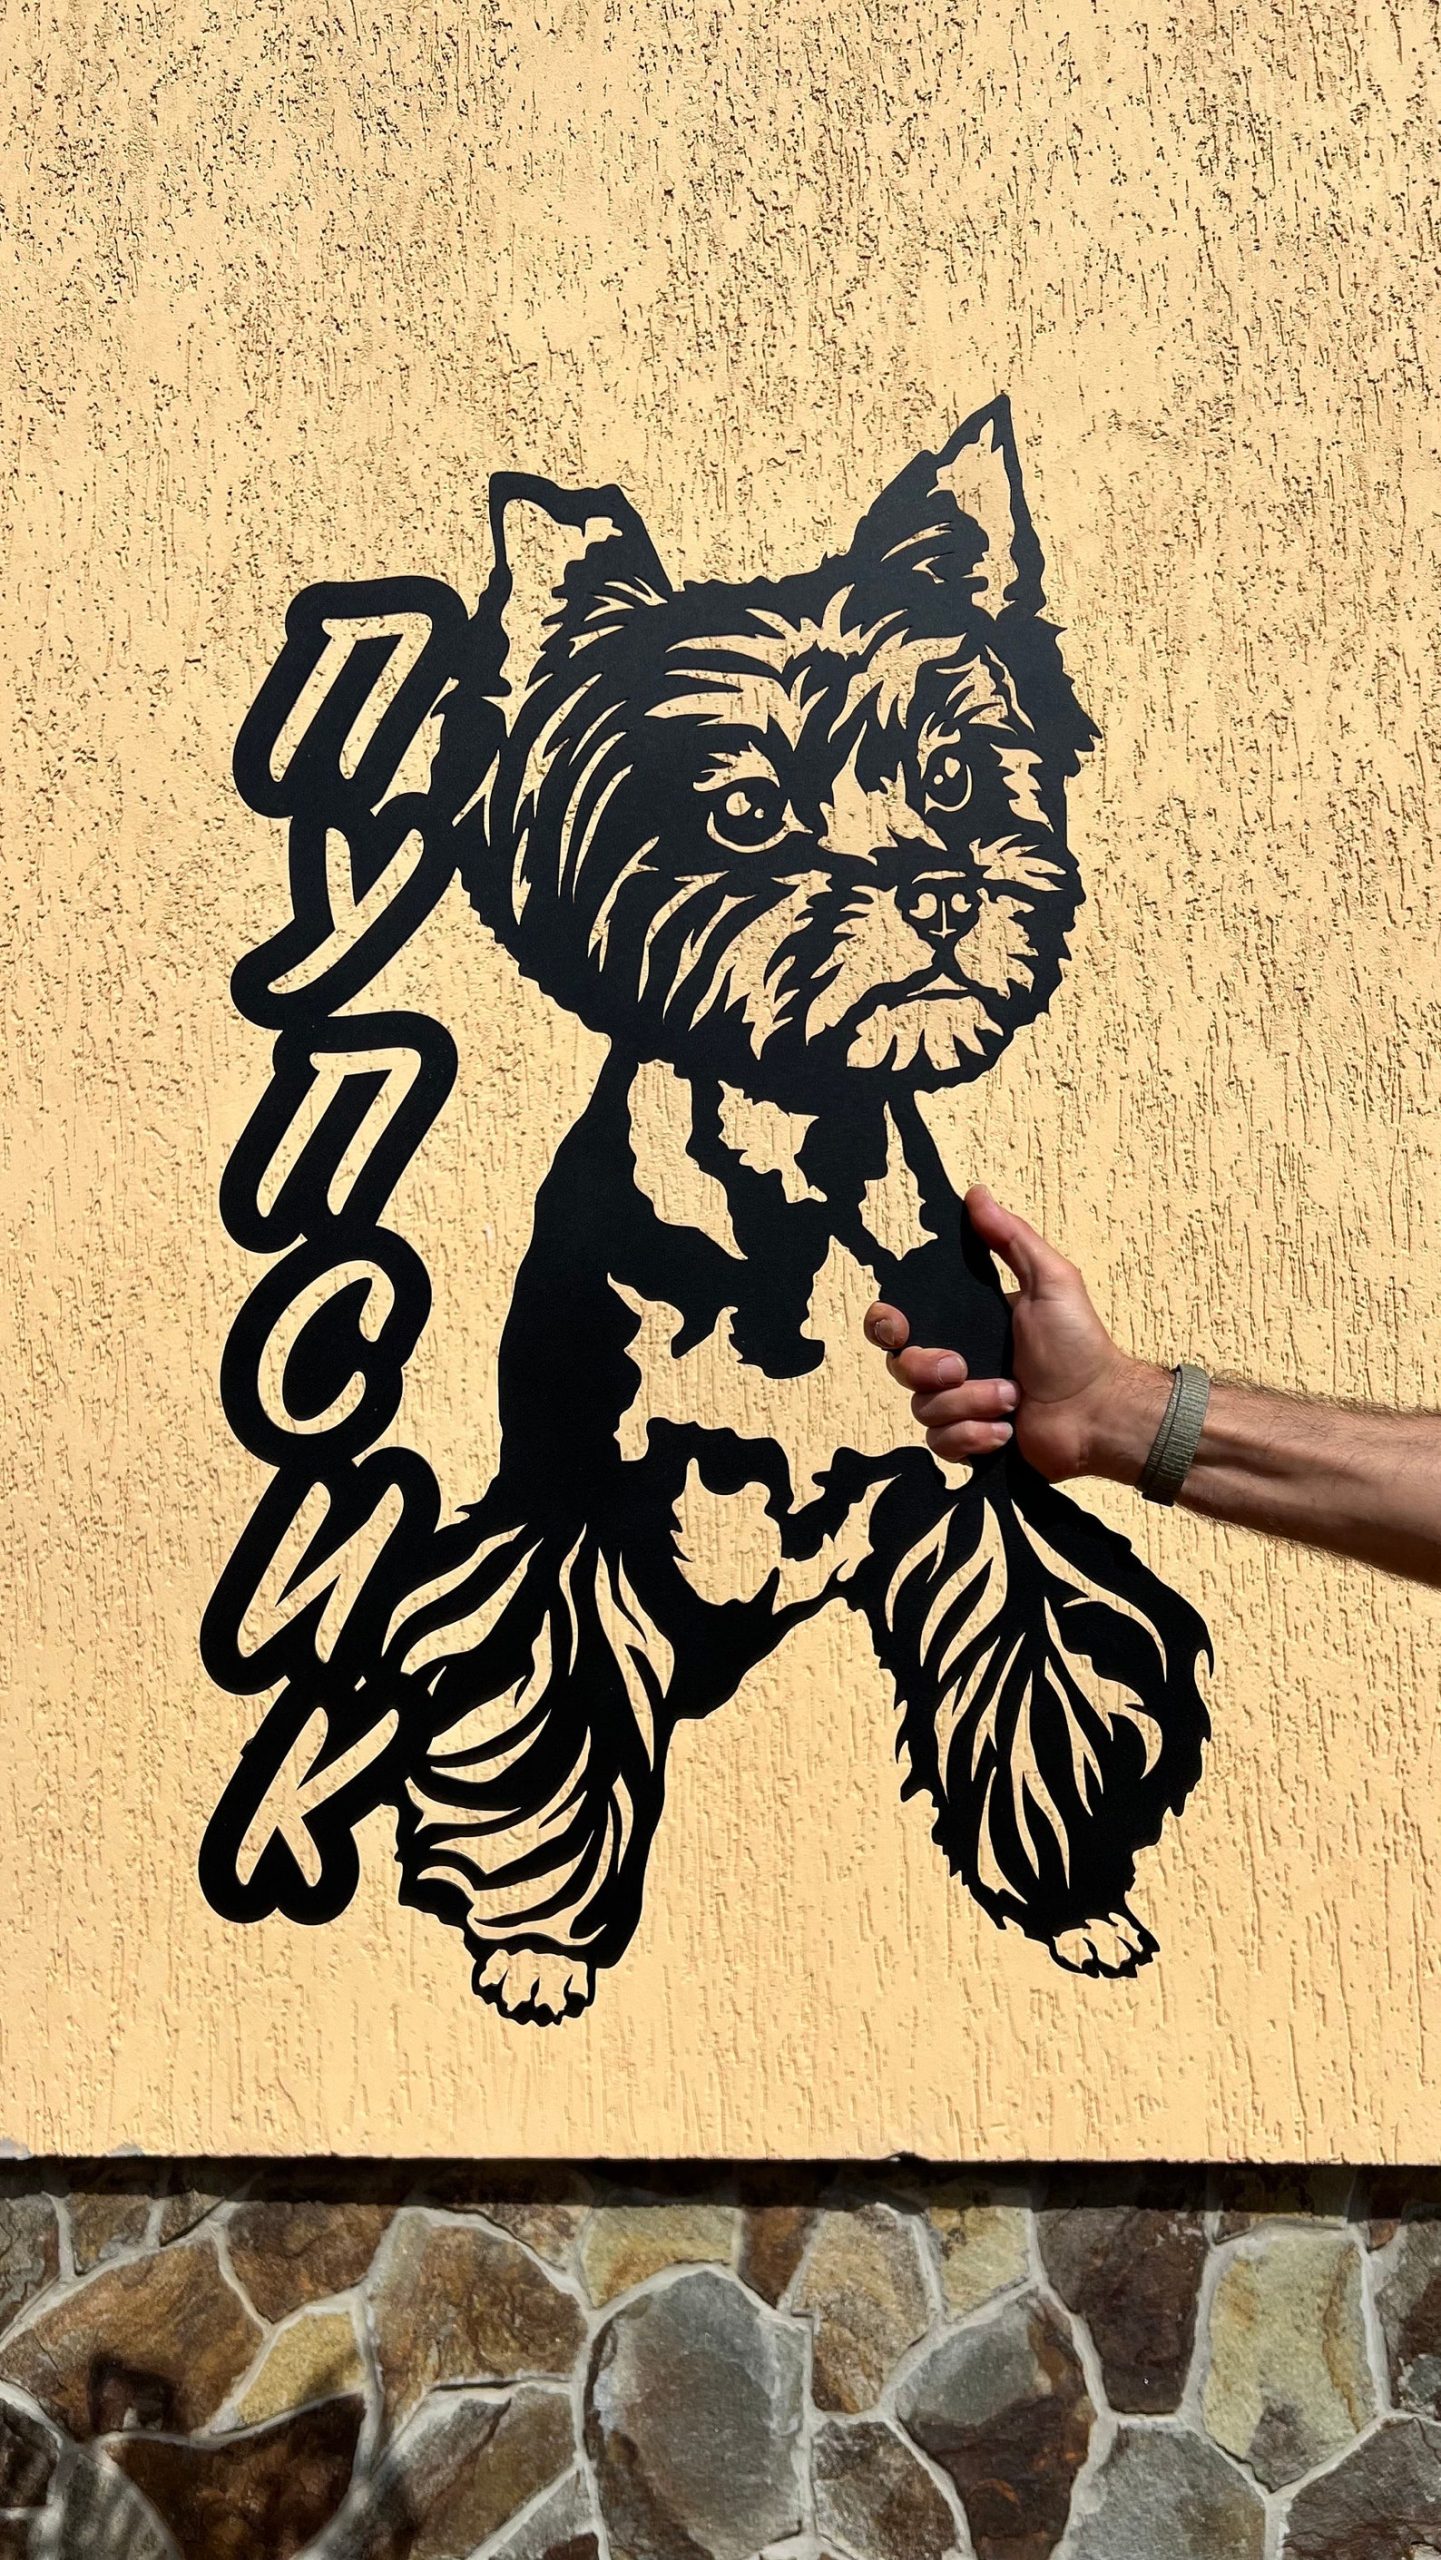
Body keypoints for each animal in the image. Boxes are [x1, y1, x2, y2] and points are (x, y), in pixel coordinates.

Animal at [387, 397, 1211, 2023]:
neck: (792, 1177)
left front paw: (1073, 1900)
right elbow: (550, 1712)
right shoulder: (574, 1502)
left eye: (953, 775)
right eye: (744, 810)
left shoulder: (977, 1479)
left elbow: (1035, 1678)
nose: (944, 889)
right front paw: (536, 1942)